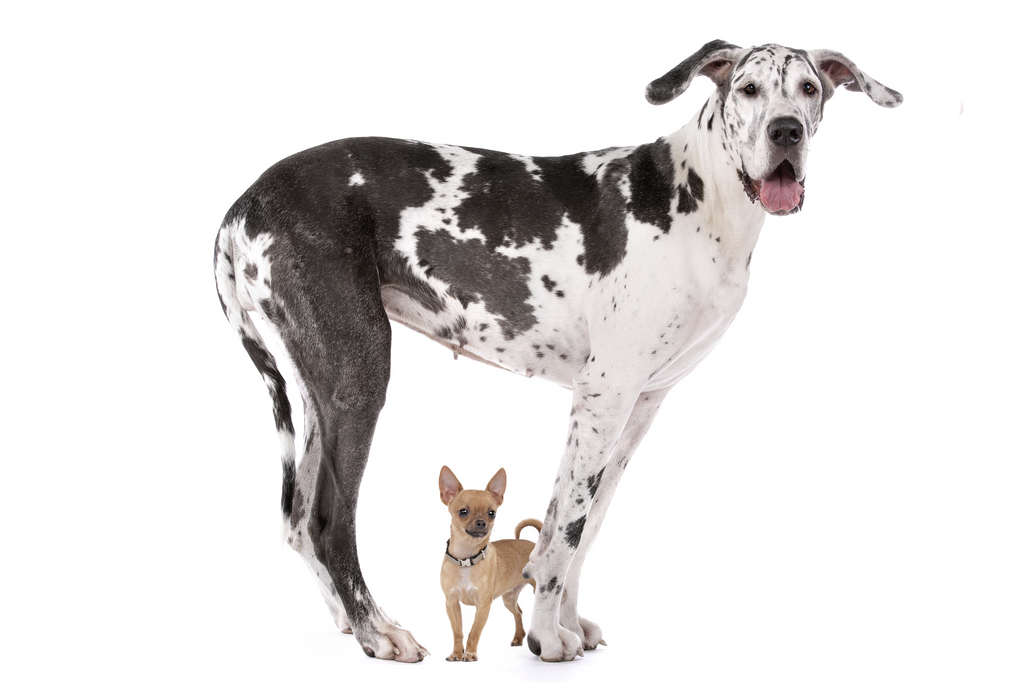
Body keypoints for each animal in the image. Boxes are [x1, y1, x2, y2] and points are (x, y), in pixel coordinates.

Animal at [436, 464, 540, 663]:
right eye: (463, 512)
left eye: (492, 513)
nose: (481, 523)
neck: (466, 560)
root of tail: (536, 545)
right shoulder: (451, 603)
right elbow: (458, 632)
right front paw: (456, 653)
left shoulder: (483, 605)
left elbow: (474, 632)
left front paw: (469, 654)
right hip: (508, 598)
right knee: (519, 612)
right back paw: (518, 637)